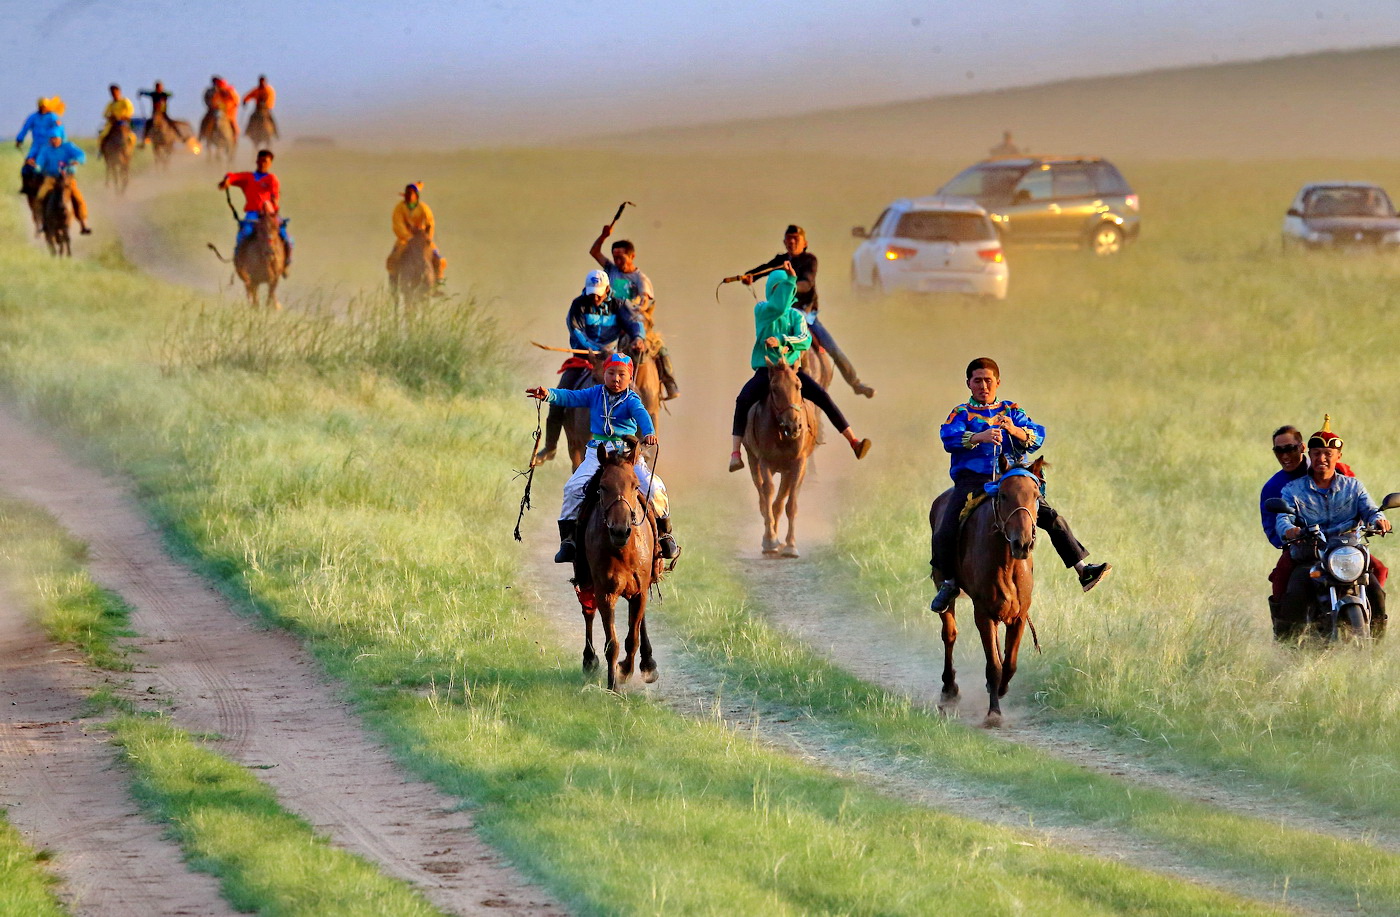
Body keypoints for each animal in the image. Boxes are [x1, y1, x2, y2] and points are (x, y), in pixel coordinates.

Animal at [571, 436, 658, 688]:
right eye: (602, 487)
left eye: (635, 486)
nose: (620, 530)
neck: (623, 550)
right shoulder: (605, 592)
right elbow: (612, 643)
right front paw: (613, 684)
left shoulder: (639, 591)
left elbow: (632, 638)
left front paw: (625, 671)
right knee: (587, 612)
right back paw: (589, 660)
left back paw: (648, 663)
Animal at [739, 361, 817, 560]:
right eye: (774, 389)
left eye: (798, 386)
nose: (793, 425)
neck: (783, 434)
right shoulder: (764, 460)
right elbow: (767, 492)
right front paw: (770, 541)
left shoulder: (798, 464)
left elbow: (791, 504)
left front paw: (790, 546)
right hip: (753, 459)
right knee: (763, 495)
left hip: (787, 469)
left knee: (780, 501)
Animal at [929, 456, 1041, 728]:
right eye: (1003, 495)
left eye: (1035, 495)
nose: (1023, 543)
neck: (1007, 564)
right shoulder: (984, 614)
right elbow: (994, 665)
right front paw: (994, 713)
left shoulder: (1019, 616)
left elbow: (1009, 663)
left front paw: (1000, 690)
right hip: (940, 582)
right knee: (949, 634)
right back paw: (949, 690)